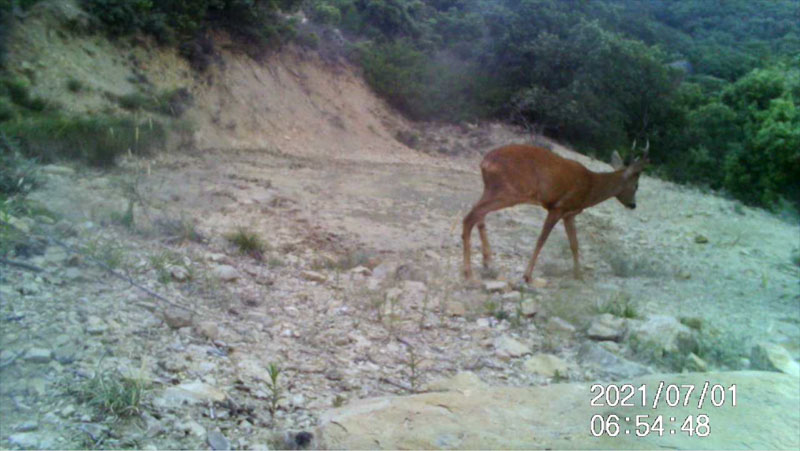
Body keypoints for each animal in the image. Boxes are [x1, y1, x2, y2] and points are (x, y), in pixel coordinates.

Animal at [462, 142, 648, 282]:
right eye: (636, 186)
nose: (633, 205)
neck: (590, 188)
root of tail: (485, 162)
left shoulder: (569, 214)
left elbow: (574, 244)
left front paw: (578, 275)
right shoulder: (558, 207)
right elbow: (541, 240)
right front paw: (527, 275)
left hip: (493, 189)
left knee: (478, 214)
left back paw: (487, 261)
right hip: (509, 192)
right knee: (471, 216)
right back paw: (469, 273)